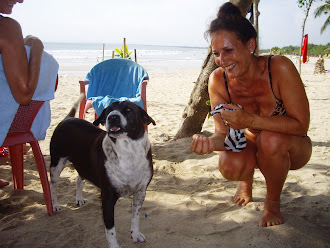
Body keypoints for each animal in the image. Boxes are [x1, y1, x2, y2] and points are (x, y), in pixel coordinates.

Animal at [50, 99, 156, 248]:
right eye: (108, 111)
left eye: (129, 109)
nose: (112, 117)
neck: (129, 152)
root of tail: (67, 118)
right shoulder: (107, 197)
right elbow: (110, 229)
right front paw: (114, 246)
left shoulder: (140, 192)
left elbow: (135, 217)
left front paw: (135, 234)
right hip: (56, 163)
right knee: (53, 186)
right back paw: (55, 205)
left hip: (83, 165)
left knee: (78, 179)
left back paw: (79, 198)